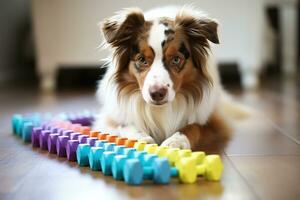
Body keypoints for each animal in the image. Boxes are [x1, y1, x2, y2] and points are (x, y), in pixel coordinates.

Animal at [94, 6, 234, 153]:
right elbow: (126, 124)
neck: (160, 109)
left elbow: (194, 126)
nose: (157, 94)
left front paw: (176, 141)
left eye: (176, 59)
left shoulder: (213, 123)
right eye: (142, 59)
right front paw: (141, 138)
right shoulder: (110, 119)